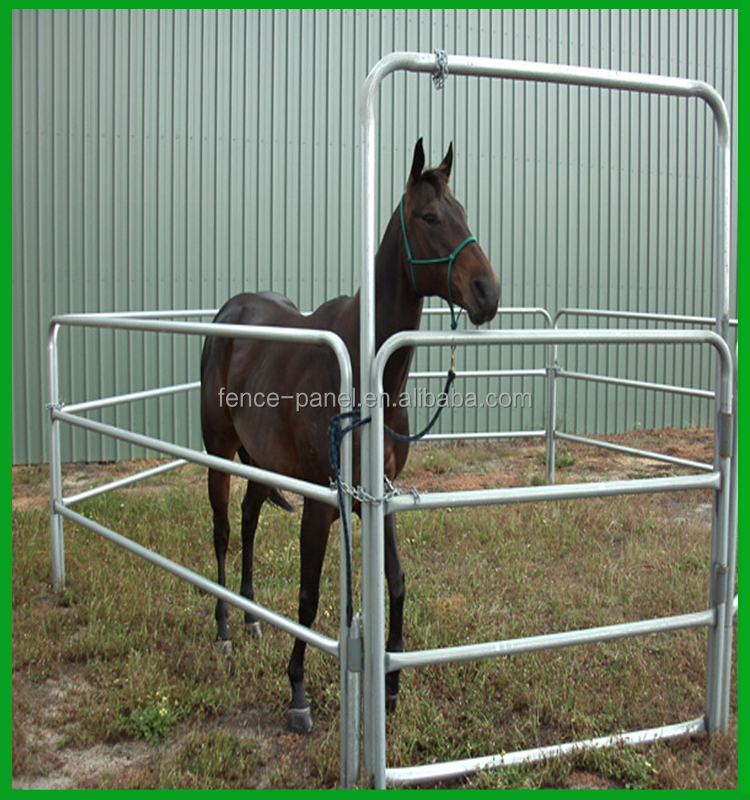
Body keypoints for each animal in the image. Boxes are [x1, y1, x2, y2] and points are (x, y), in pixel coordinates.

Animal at [203, 138, 502, 732]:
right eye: (430, 217)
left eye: (462, 211)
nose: (488, 292)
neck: (368, 377)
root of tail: (231, 312)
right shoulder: (325, 503)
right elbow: (310, 595)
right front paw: (298, 692)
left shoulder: (379, 495)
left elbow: (396, 581)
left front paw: (390, 687)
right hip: (219, 453)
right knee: (223, 532)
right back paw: (225, 627)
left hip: (261, 462)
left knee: (247, 522)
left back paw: (250, 618)